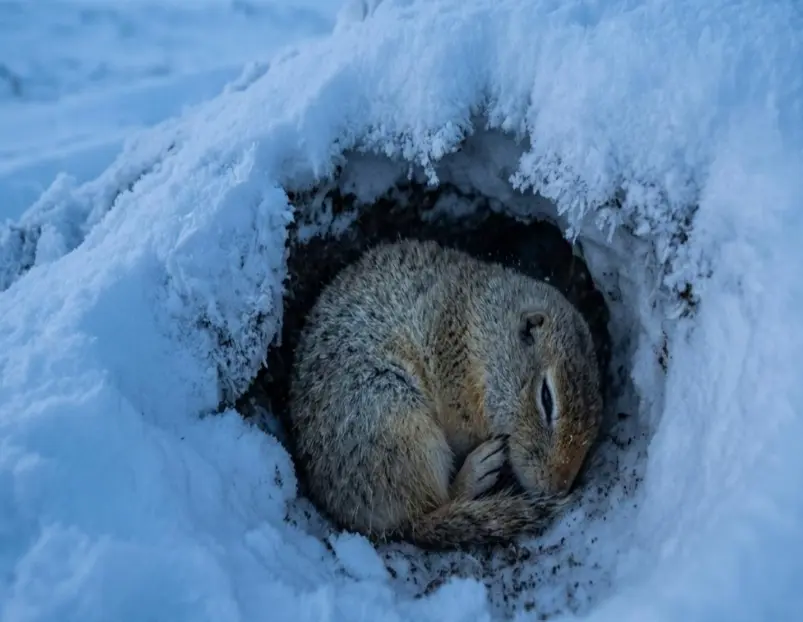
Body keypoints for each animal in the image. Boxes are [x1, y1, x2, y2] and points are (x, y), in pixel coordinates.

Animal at [288, 238, 603, 549]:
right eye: (547, 398)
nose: (558, 487)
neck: (481, 332)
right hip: (400, 423)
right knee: (433, 503)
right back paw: (478, 470)